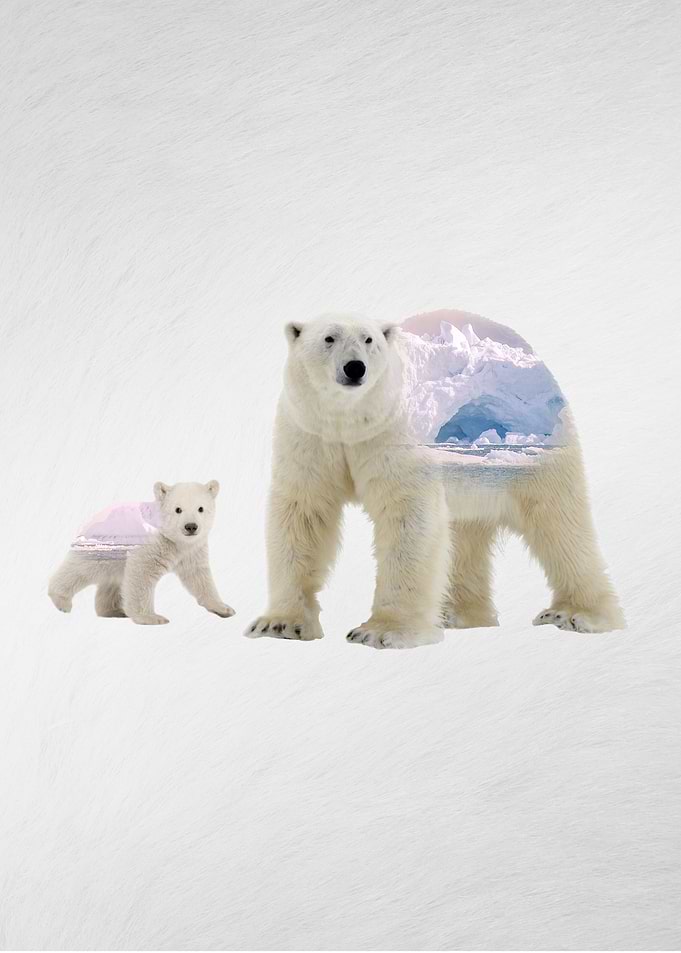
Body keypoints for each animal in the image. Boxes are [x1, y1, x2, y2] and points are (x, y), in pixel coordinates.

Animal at [48, 481, 235, 625]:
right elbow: (142, 574)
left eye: (201, 508)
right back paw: (61, 600)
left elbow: (198, 576)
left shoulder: (192, 549)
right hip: (106, 545)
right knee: (83, 568)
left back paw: (114, 610)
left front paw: (224, 608)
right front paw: (152, 618)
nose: (191, 526)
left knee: (113, 580)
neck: (176, 540)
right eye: (178, 509)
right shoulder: (151, 543)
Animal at [246, 312, 624, 649]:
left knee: (560, 526)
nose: (355, 368)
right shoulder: (309, 434)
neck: (350, 420)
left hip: (538, 460)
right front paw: (280, 624)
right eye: (329, 338)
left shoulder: (396, 436)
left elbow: (407, 517)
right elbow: (304, 512)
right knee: (465, 534)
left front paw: (382, 632)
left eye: (369, 340)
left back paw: (577, 614)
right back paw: (458, 613)